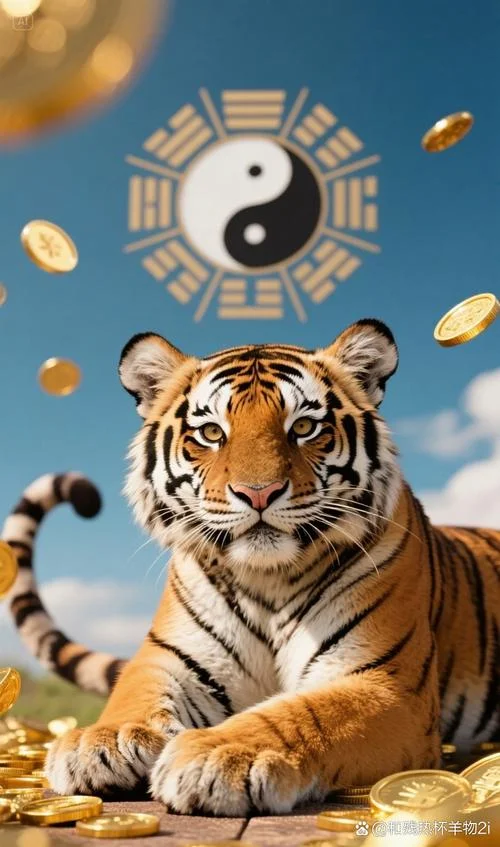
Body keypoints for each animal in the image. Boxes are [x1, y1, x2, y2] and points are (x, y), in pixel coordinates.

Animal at [2, 318, 499, 817]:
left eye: (304, 427)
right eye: (210, 432)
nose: (258, 493)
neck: (269, 578)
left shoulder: (386, 683)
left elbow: (306, 713)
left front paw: (219, 755)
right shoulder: (171, 657)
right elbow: (135, 692)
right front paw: (104, 741)